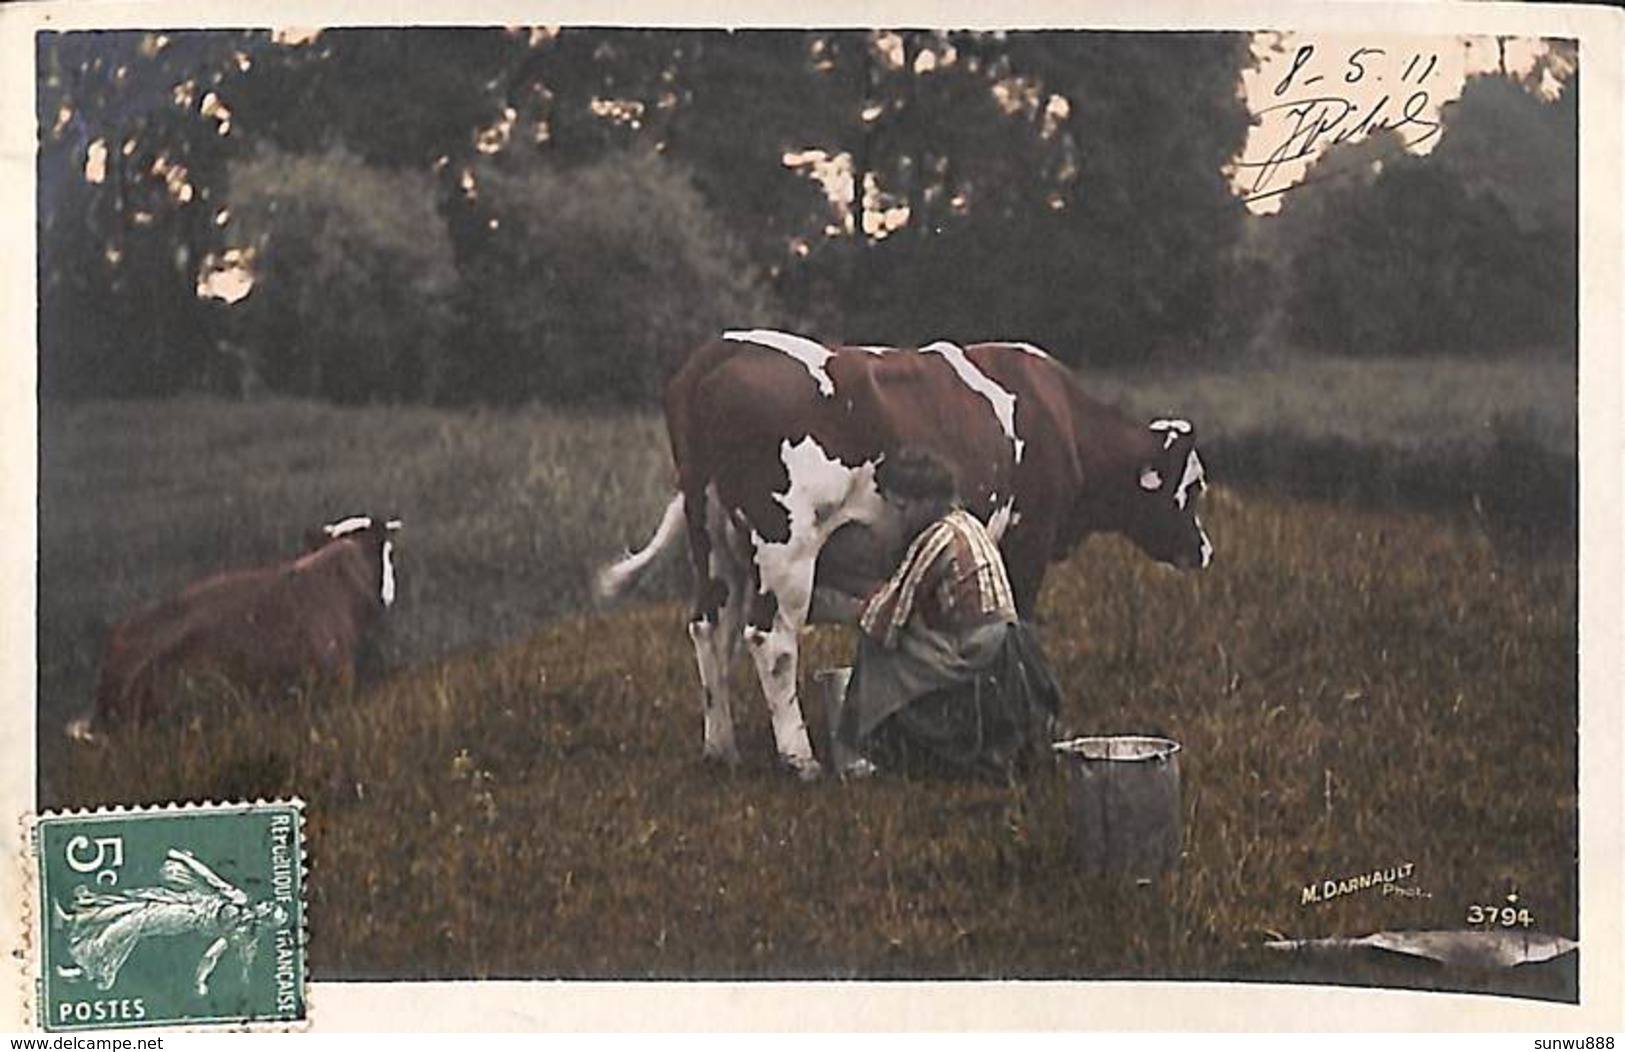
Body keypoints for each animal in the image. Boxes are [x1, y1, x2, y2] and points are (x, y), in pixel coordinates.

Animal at [598, 331, 1209, 780]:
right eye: (1194, 485)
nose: (1203, 549)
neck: (1060, 420)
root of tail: (718, 351)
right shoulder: (1027, 542)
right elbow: (1020, 624)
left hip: (712, 541)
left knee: (710, 630)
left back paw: (721, 748)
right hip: (784, 547)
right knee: (770, 640)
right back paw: (800, 759)